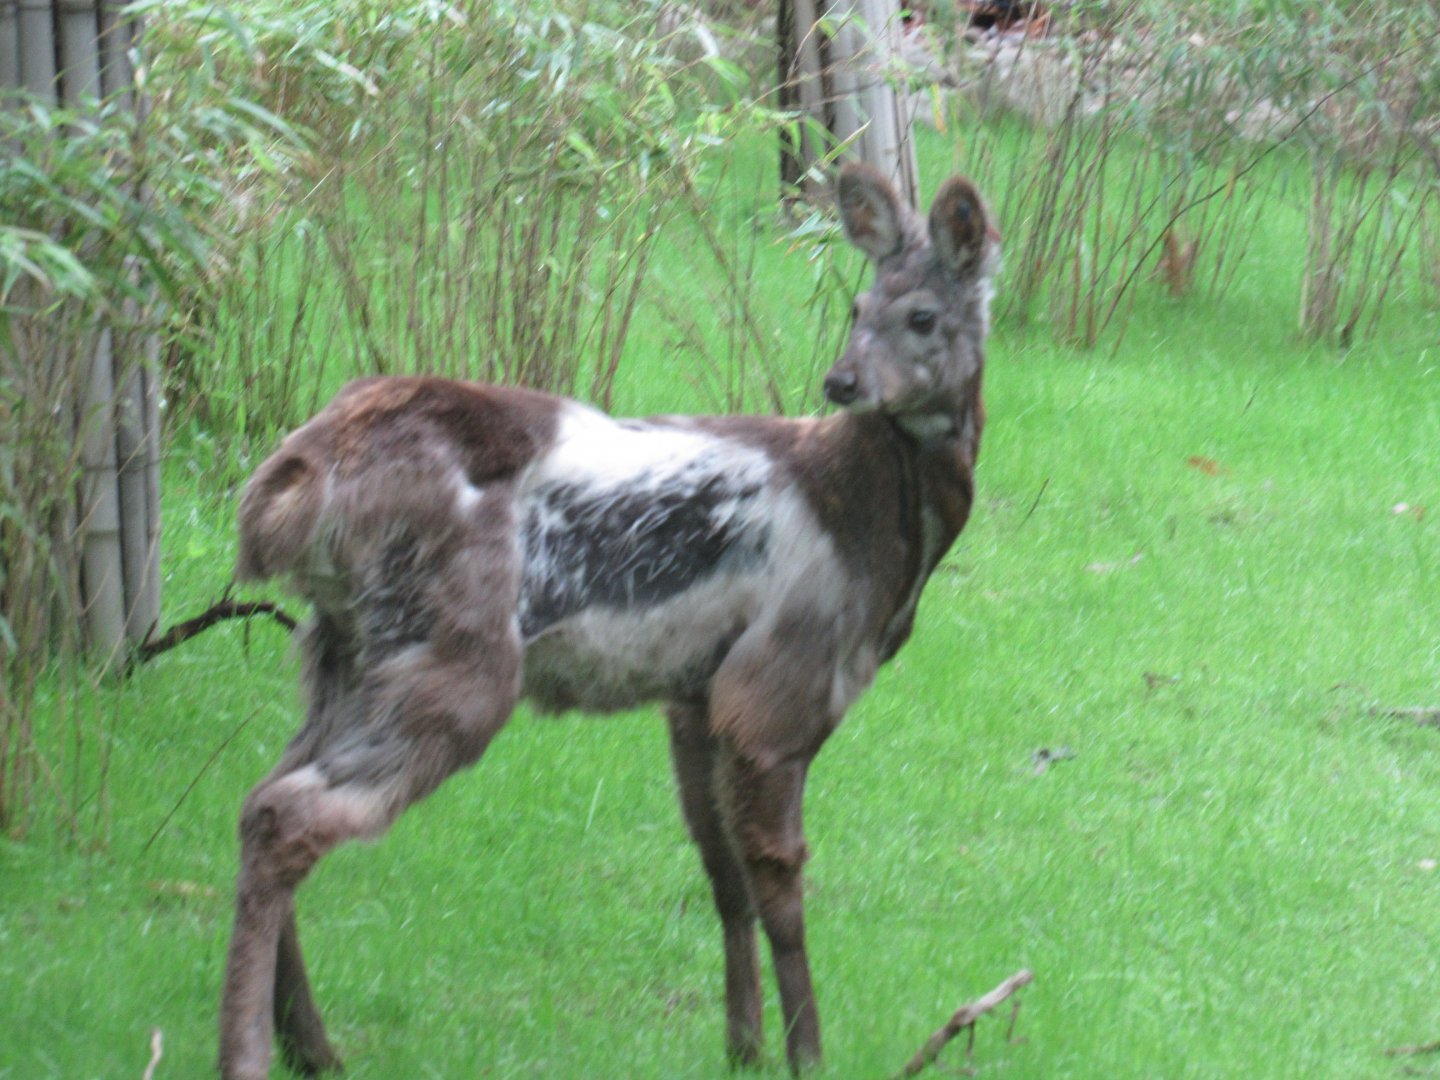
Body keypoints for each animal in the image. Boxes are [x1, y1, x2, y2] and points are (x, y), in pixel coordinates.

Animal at [217, 163, 998, 1079]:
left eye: (921, 315)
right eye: (857, 306)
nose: (843, 382)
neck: (872, 524)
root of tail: (289, 488)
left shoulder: (695, 694)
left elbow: (720, 872)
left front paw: (742, 1045)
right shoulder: (779, 682)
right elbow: (779, 881)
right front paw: (807, 1053)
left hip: (341, 650)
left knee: (259, 799)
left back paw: (313, 1047)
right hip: (452, 651)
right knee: (287, 816)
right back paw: (251, 1053)